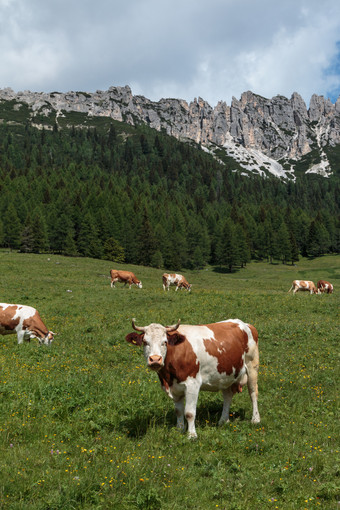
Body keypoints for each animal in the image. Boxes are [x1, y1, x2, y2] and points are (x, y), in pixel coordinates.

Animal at [127, 314, 260, 438]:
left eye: (164, 342)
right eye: (145, 342)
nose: (155, 359)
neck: (168, 377)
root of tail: (245, 324)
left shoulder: (193, 384)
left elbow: (189, 413)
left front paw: (192, 435)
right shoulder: (175, 388)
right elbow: (178, 411)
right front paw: (179, 430)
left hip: (252, 366)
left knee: (253, 392)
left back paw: (255, 419)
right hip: (226, 375)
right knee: (227, 396)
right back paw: (223, 420)